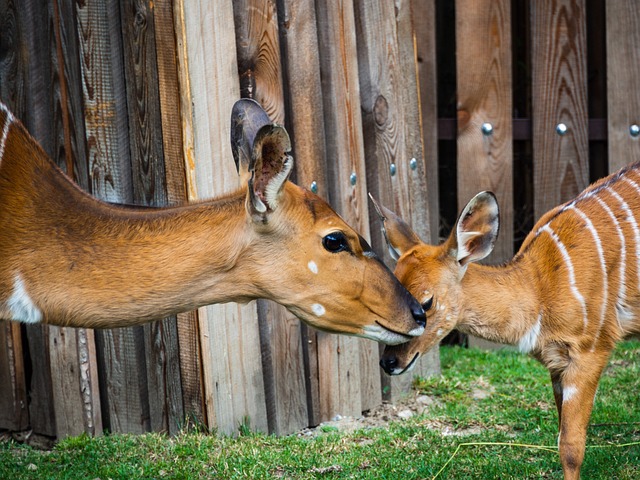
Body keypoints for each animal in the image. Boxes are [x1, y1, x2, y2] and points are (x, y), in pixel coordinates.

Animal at [372, 164, 640, 476]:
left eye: (426, 302)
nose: (389, 362)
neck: (540, 288)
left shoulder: (590, 350)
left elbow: (571, 447)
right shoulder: (556, 364)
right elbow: (561, 432)